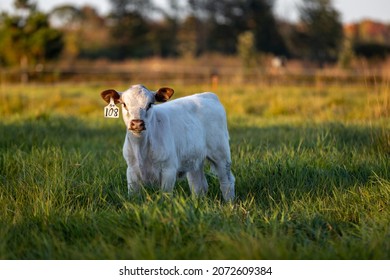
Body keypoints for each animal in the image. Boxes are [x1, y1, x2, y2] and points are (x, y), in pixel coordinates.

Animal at [100, 84, 235, 200]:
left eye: (150, 104)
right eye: (124, 104)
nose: (137, 123)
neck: (141, 148)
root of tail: (208, 95)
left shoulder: (168, 169)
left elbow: (165, 196)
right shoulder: (131, 170)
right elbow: (133, 196)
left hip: (221, 154)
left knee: (227, 182)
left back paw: (229, 205)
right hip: (194, 158)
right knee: (198, 185)